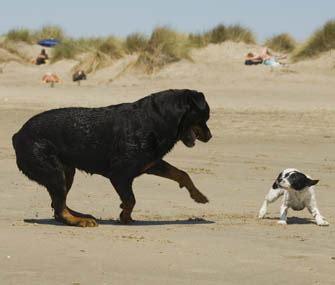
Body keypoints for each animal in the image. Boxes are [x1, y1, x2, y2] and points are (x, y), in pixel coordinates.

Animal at [13, 89, 214, 226]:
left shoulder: (151, 164)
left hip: (66, 171)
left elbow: (181, 174)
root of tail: (17, 135)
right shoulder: (120, 175)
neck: (160, 119)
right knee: (59, 206)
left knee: (57, 205)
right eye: (205, 117)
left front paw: (198, 196)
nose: (210, 136)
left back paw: (81, 215)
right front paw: (125, 216)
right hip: (54, 172)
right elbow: (131, 199)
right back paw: (79, 221)